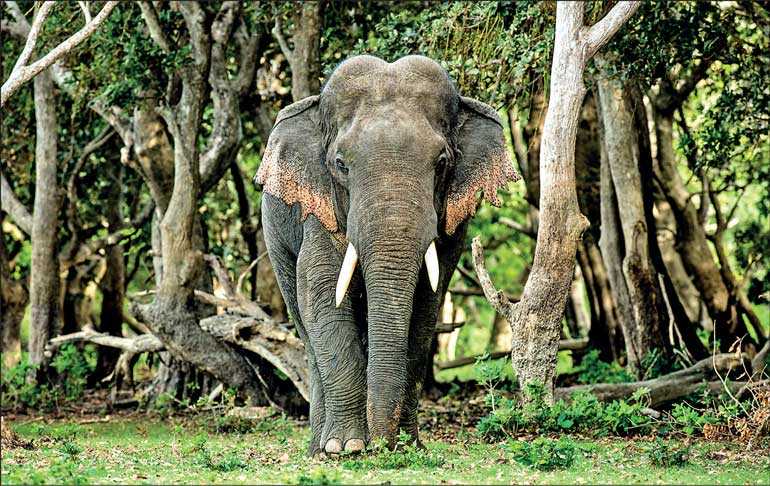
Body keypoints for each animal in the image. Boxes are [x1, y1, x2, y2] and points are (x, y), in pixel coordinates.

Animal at [255, 54, 518, 455]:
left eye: (442, 162)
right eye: (341, 163)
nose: (382, 444)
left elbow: (426, 307)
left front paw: (406, 446)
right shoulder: (320, 211)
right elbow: (322, 294)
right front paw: (347, 447)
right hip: (276, 237)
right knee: (303, 322)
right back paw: (319, 448)